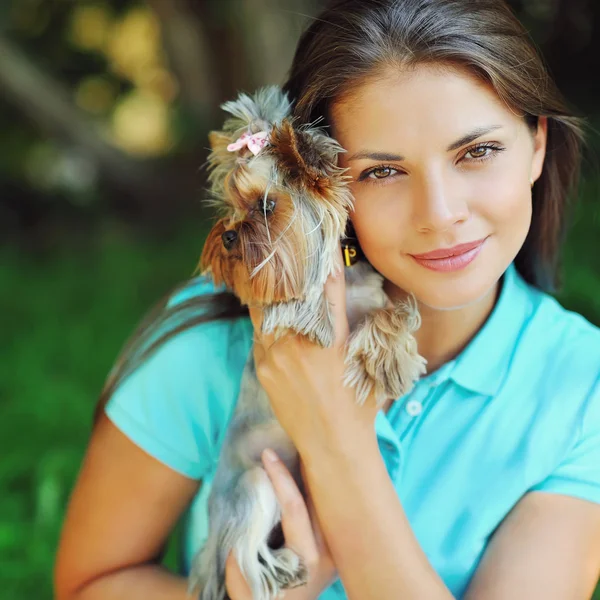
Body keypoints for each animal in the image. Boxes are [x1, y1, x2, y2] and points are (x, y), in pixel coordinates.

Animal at [189, 85, 426, 600]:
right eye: (229, 206)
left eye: (265, 206)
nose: (228, 235)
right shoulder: (278, 312)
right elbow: (291, 301)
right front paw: (315, 313)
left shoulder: (373, 295)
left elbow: (395, 309)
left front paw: (389, 360)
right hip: (255, 482)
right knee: (238, 552)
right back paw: (278, 567)